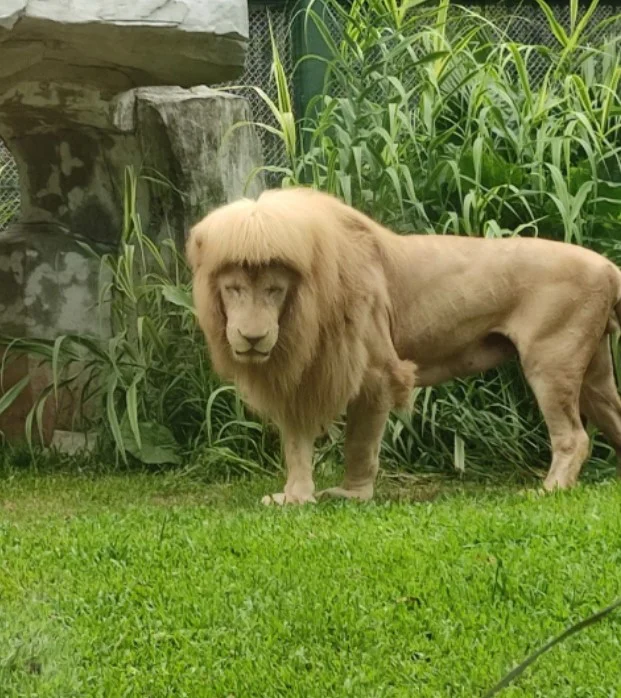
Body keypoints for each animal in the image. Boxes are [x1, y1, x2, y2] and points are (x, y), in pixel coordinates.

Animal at [187, 187, 621, 504]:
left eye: (274, 290)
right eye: (234, 289)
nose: (252, 337)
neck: (301, 312)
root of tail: (608, 266)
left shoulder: (377, 372)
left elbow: (360, 442)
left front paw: (352, 495)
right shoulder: (299, 377)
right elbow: (296, 445)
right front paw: (293, 498)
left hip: (551, 361)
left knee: (574, 437)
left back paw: (548, 489)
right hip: (594, 374)